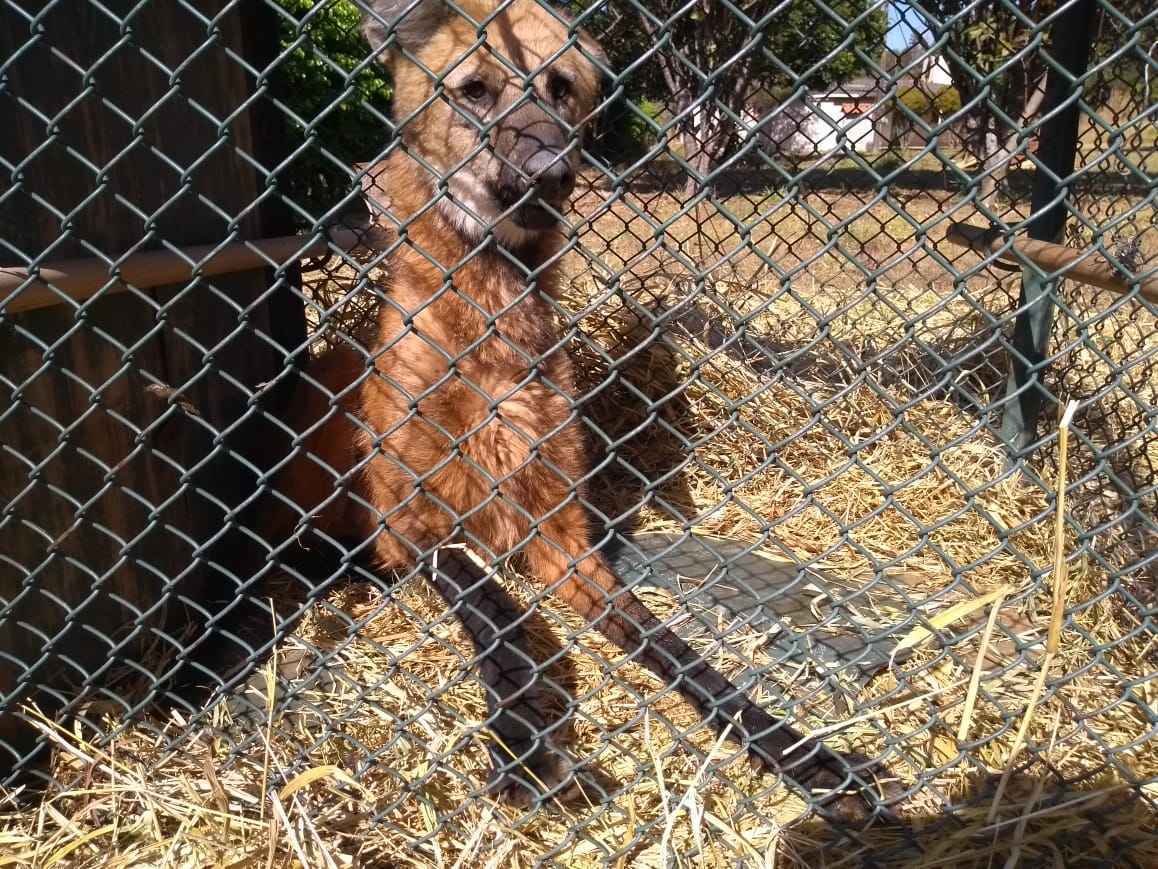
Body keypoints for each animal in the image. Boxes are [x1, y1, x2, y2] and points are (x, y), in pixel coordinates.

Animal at [253, 0, 889, 820]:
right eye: (475, 90)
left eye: (560, 88)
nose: (551, 174)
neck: (491, 336)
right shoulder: (411, 523)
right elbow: (496, 610)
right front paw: (526, 739)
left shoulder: (566, 544)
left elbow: (680, 654)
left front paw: (807, 756)